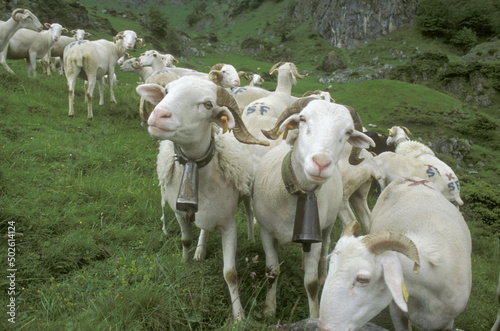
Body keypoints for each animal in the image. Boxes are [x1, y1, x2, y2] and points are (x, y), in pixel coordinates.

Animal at [135, 76, 272, 322]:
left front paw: (239, 315)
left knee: (249, 213)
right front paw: (186, 260)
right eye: (166, 91)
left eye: (208, 104)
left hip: (247, 192)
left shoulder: (228, 224)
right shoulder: (179, 212)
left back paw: (250, 237)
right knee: (205, 228)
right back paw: (200, 251)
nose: (158, 114)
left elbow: (230, 273)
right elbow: (186, 240)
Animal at [252, 98, 374, 320]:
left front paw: (313, 316)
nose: (321, 163)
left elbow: (311, 283)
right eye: (302, 119)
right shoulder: (266, 232)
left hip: (328, 224)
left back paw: (324, 273)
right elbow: (272, 272)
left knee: (326, 247)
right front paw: (269, 310)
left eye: (348, 132)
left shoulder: (314, 235)